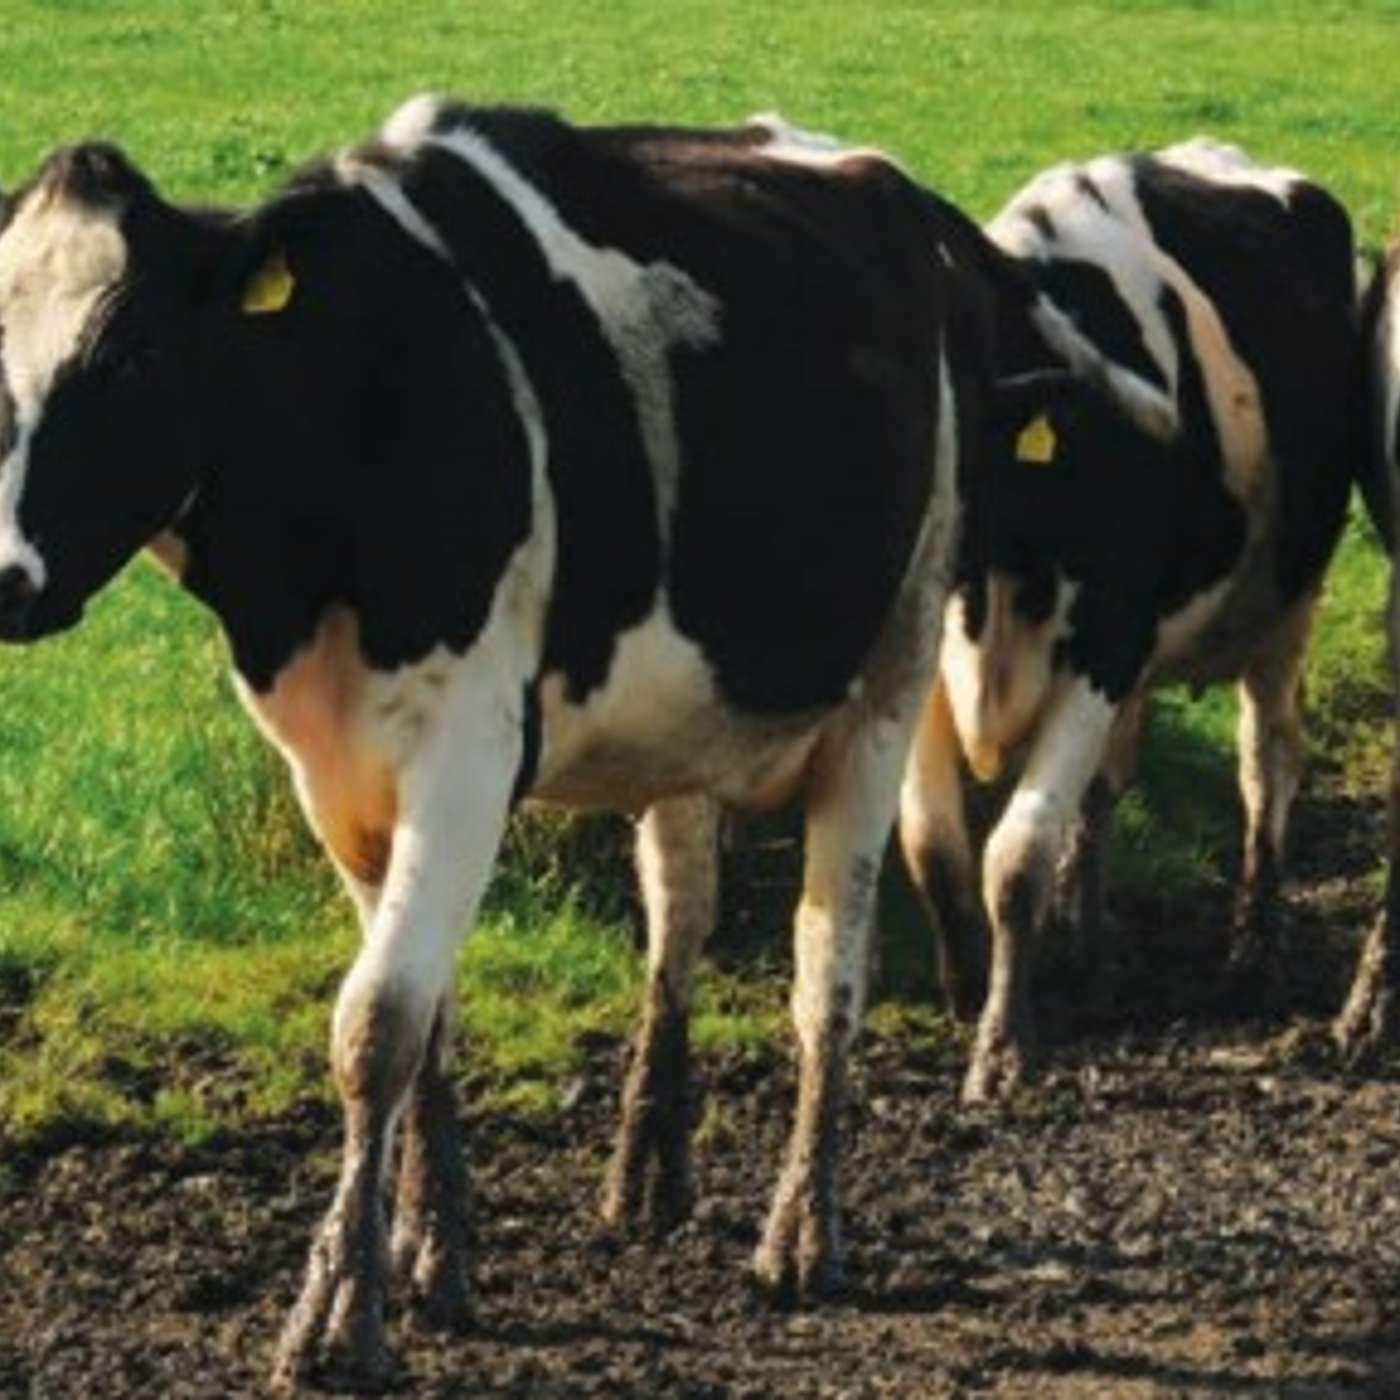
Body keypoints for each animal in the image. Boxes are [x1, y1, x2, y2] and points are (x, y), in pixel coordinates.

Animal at [0, 99, 1165, 1387]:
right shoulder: (333, 769)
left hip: (889, 677)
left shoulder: (465, 754)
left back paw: (801, 1231)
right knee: (681, 916)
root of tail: (873, 177)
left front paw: (337, 1315)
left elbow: (375, 1025)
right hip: (687, 720)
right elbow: (427, 1020)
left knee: (827, 964)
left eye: (125, 357)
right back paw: (648, 1170)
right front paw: (426, 1252)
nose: (8, 578)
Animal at [895, 140, 1361, 1105]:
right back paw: (1088, 930)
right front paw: (964, 986)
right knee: (1109, 783)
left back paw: (1252, 946)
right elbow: (933, 846)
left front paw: (1003, 1043)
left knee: (1267, 762)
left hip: (1288, 608)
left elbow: (1014, 857)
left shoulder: (1103, 653)